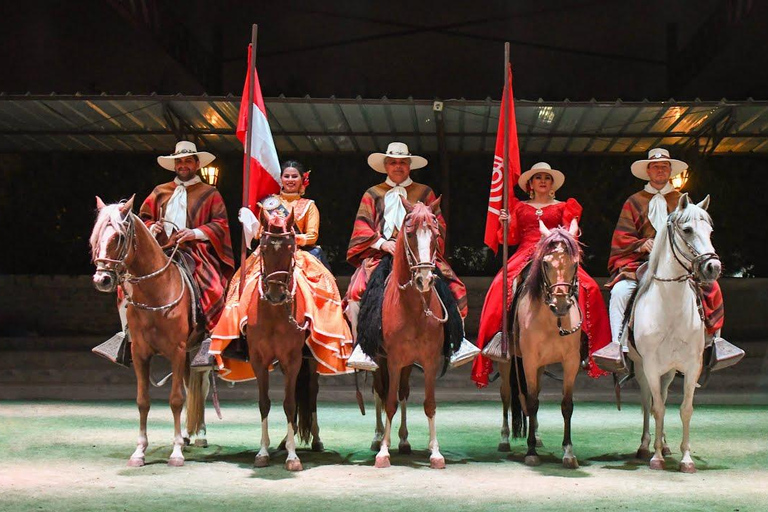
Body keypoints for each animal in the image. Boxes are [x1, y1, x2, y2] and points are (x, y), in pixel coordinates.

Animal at [89, 196, 208, 468]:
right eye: (96, 237)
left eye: (119, 237)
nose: (102, 280)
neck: (156, 291)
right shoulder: (141, 353)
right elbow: (143, 401)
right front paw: (139, 451)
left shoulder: (176, 351)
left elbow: (176, 399)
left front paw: (176, 452)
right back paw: (188, 434)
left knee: (200, 387)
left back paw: (199, 435)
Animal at [248, 208, 316, 472]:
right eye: (264, 249)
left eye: (290, 249)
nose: (276, 294)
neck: (275, 313)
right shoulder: (258, 359)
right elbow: (263, 403)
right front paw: (262, 452)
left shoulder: (293, 359)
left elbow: (289, 403)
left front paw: (292, 456)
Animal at [372, 198, 450, 470]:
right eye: (410, 234)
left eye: (436, 234)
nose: (424, 279)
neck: (415, 309)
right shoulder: (393, 360)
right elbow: (389, 403)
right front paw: (383, 451)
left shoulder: (429, 360)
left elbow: (429, 404)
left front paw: (435, 451)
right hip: (381, 361)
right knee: (380, 391)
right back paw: (378, 437)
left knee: (403, 392)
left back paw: (404, 440)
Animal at [510, 220, 584, 468]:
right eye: (546, 263)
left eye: (575, 263)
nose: (560, 304)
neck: (553, 321)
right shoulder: (529, 361)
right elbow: (532, 402)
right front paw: (531, 451)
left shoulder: (571, 362)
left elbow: (567, 405)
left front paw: (568, 451)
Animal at [632, 194, 720, 474]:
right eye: (688, 230)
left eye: (710, 231)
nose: (713, 267)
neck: (670, 310)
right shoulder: (650, 366)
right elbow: (657, 408)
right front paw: (656, 457)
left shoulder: (692, 366)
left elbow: (685, 410)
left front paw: (686, 458)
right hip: (642, 369)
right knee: (647, 401)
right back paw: (646, 445)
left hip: (669, 372)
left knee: (662, 395)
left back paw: (665, 444)